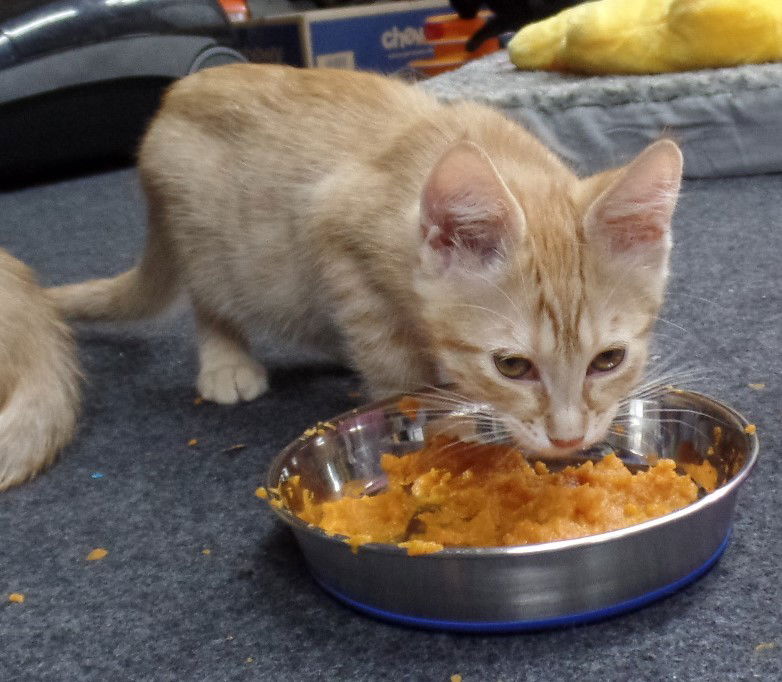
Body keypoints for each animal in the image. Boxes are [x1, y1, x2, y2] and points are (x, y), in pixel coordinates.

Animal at [50, 65, 688, 456]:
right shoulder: (335, 235)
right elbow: (392, 368)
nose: (567, 439)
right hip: (215, 244)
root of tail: (173, 98)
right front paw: (426, 425)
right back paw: (226, 360)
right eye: (512, 366)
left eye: (609, 360)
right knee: (211, 299)